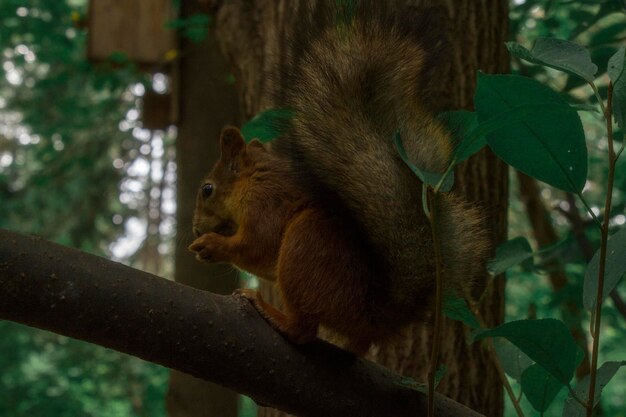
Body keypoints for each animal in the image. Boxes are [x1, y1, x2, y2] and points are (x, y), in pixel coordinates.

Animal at [185, 3, 488, 354]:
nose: (195, 229)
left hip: (307, 241)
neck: (253, 180)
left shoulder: (266, 203)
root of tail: (377, 314)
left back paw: (270, 311)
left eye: (207, 189)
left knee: (303, 329)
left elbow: (258, 246)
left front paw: (213, 245)